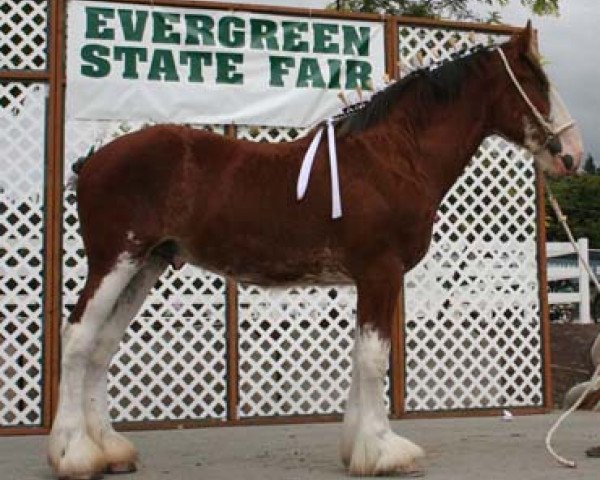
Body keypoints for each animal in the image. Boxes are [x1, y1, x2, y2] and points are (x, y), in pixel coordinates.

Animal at [49, 23, 584, 480]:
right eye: (536, 82)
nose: (574, 155)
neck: (392, 158)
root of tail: (93, 160)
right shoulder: (381, 273)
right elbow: (373, 359)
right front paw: (385, 451)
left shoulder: (368, 280)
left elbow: (361, 356)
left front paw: (359, 449)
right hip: (115, 262)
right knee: (77, 339)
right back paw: (74, 454)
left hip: (145, 265)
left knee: (101, 346)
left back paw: (111, 450)